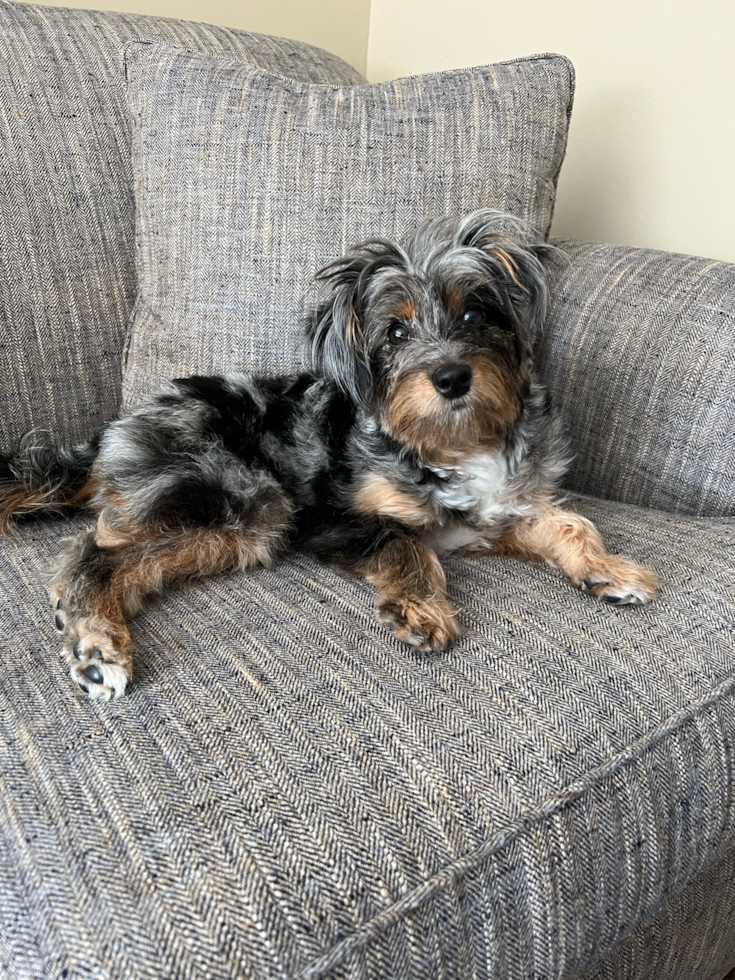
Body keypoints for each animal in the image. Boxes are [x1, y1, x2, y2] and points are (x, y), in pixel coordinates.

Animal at [0, 209, 656, 696]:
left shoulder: (498, 513)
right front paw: (420, 609)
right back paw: (96, 644)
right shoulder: (331, 518)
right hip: (248, 502)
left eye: (475, 311)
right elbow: (408, 544)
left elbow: (569, 522)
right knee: (95, 552)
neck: (454, 441)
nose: (451, 377)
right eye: (395, 332)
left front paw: (610, 568)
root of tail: (117, 426)